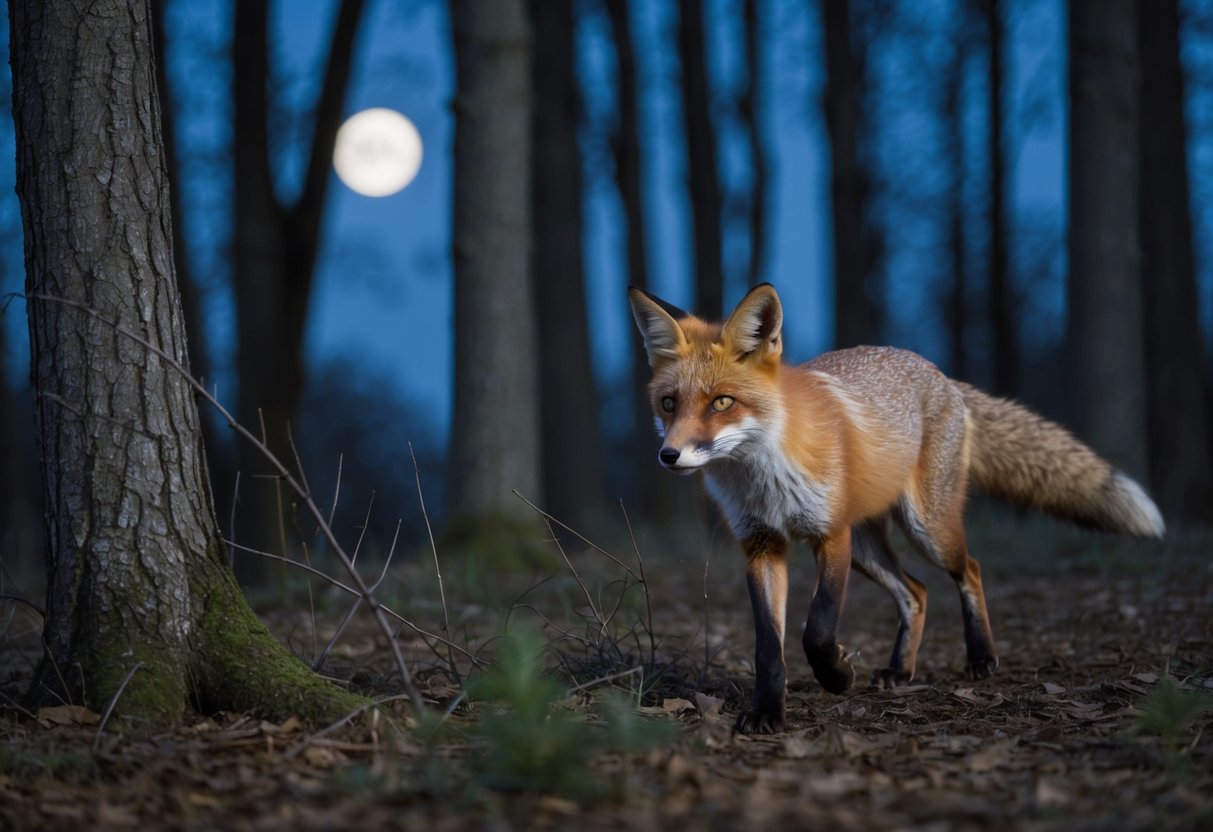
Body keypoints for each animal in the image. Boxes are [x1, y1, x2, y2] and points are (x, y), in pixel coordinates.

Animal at [629, 283, 1165, 734]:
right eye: (669, 404)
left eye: (722, 403)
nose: (669, 456)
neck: (765, 480)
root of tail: (939, 373)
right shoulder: (762, 545)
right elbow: (768, 646)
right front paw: (766, 712)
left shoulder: (831, 535)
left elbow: (817, 629)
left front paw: (837, 675)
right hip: (870, 550)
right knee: (918, 592)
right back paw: (899, 670)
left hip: (926, 530)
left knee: (969, 570)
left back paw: (981, 658)